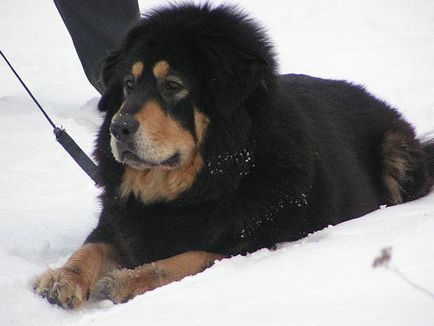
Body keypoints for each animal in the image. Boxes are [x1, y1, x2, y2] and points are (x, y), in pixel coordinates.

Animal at [34, 3, 434, 308]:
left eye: (173, 85)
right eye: (129, 84)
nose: (118, 127)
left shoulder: (251, 243)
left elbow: (183, 260)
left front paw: (127, 280)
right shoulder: (118, 223)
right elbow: (90, 249)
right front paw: (62, 278)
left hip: (396, 153)